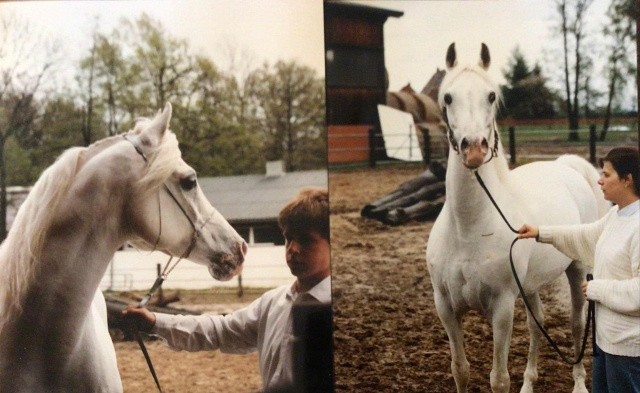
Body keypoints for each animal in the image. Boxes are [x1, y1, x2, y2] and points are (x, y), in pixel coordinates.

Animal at [428, 43, 608, 392]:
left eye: (491, 96)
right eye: (448, 97)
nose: (473, 148)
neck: (468, 229)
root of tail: (565, 166)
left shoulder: (501, 307)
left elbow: (498, 379)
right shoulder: (445, 306)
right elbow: (460, 369)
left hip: (577, 270)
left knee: (577, 324)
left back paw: (579, 383)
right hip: (530, 286)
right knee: (537, 323)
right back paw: (529, 382)